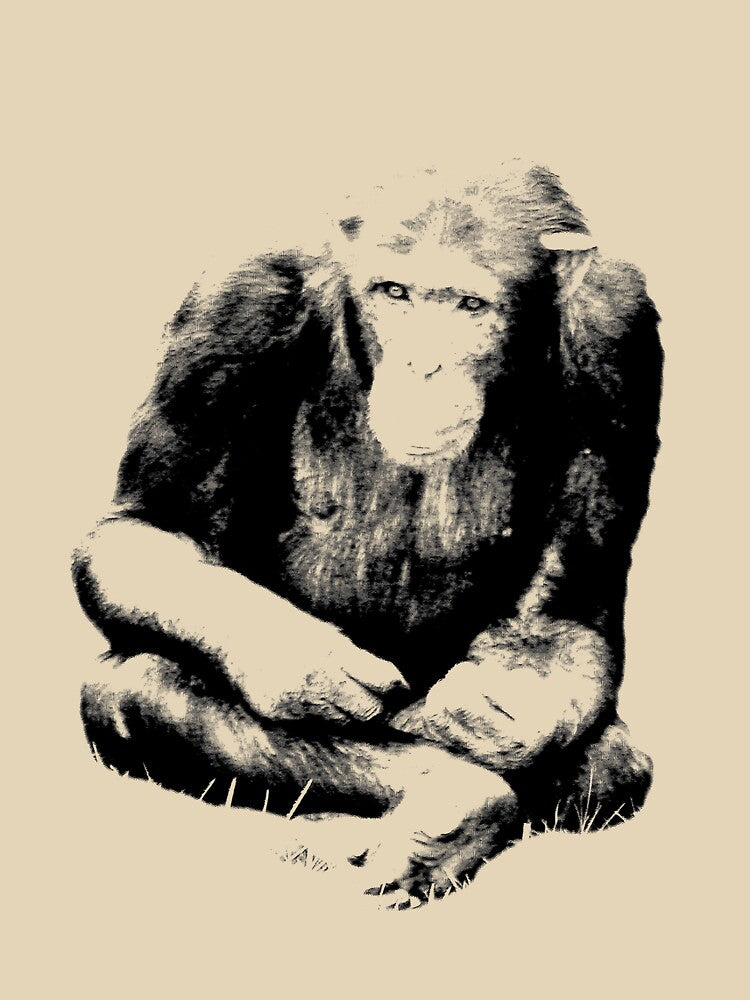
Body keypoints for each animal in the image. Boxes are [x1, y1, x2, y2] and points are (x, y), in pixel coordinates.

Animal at [73, 162, 661, 900]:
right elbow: (150, 525)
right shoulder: (238, 300)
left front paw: (496, 714)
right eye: (395, 293)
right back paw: (450, 800)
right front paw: (304, 663)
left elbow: (567, 609)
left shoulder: (619, 332)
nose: (423, 363)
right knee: (140, 687)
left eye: (470, 306)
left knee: (609, 765)